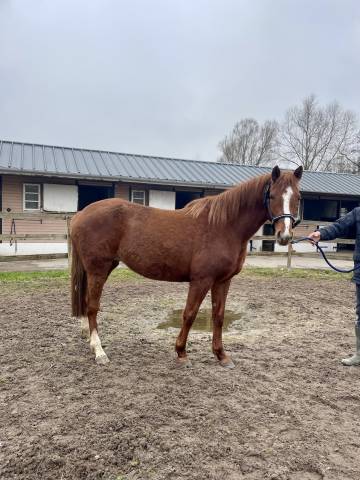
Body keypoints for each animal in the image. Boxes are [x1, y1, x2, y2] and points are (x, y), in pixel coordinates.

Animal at [69, 165, 300, 368]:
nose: (284, 236)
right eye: (272, 196)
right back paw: (99, 352)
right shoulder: (201, 280)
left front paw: (221, 355)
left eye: (297, 198)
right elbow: (189, 314)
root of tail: (80, 214)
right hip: (98, 269)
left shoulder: (223, 281)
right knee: (92, 307)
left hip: (102, 268)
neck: (224, 226)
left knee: (87, 302)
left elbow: (218, 316)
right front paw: (181, 353)